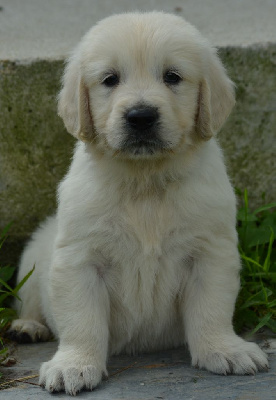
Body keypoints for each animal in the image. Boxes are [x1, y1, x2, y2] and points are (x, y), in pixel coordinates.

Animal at [10, 10, 268, 396]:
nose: (141, 116)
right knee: (30, 303)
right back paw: (27, 327)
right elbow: (82, 320)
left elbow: (212, 309)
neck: (144, 181)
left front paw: (224, 348)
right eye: (110, 79)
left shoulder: (210, 252)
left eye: (172, 76)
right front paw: (74, 364)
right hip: (32, 257)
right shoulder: (80, 258)